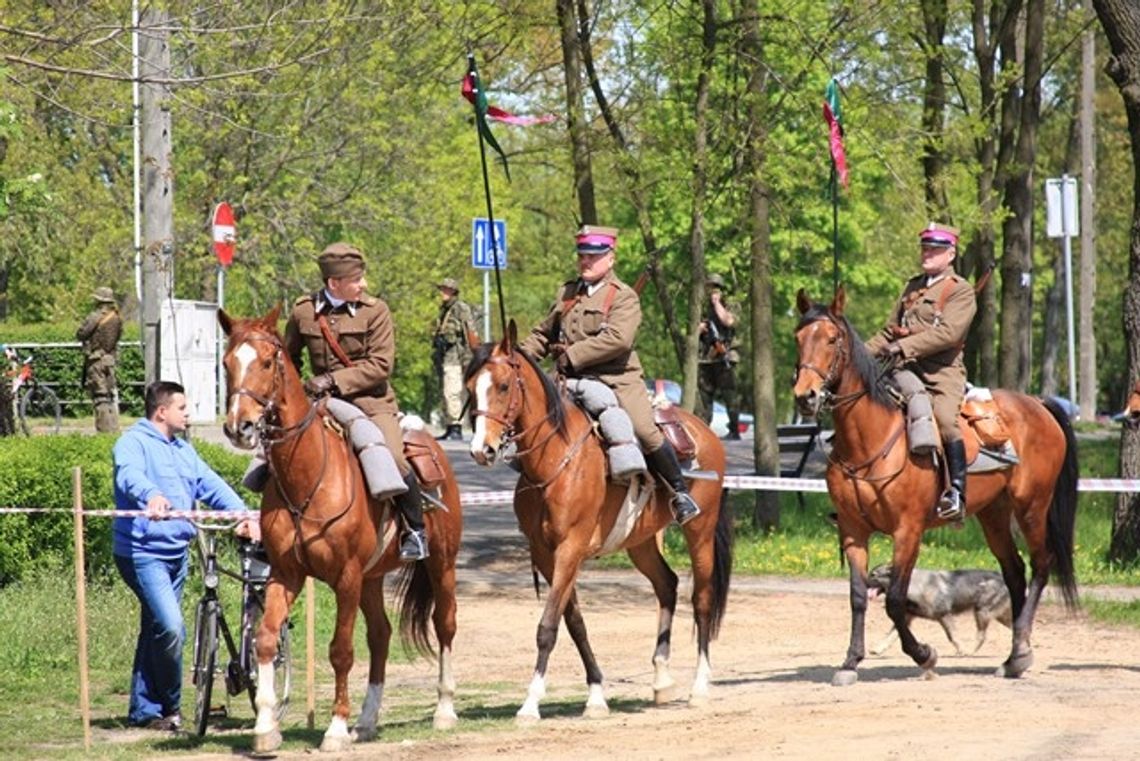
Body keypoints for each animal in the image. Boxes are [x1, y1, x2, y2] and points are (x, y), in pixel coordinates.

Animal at [215, 305, 460, 751]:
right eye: (227, 363)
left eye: (267, 361)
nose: (239, 427)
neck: (307, 477)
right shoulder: (286, 574)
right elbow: (265, 639)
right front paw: (265, 727)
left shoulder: (345, 578)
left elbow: (341, 650)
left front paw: (334, 728)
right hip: (372, 579)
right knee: (380, 635)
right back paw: (367, 720)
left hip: (441, 565)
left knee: (444, 624)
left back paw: (444, 710)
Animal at [462, 323, 729, 724]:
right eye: (469, 386)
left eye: (504, 386)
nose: (483, 450)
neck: (555, 458)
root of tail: (704, 431)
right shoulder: (546, 554)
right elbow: (574, 623)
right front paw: (596, 695)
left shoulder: (569, 550)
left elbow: (547, 626)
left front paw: (530, 703)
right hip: (641, 541)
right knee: (666, 585)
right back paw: (661, 680)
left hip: (700, 532)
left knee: (701, 599)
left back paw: (698, 688)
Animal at [866, 565, 1012, 656]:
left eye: (873, 575)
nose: (863, 582)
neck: (914, 586)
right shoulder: (905, 619)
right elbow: (890, 636)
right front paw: (878, 649)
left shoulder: (944, 615)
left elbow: (953, 636)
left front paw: (962, 649)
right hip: (1000, 616)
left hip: (981, 613)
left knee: (982, 636)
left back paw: (970, 651)